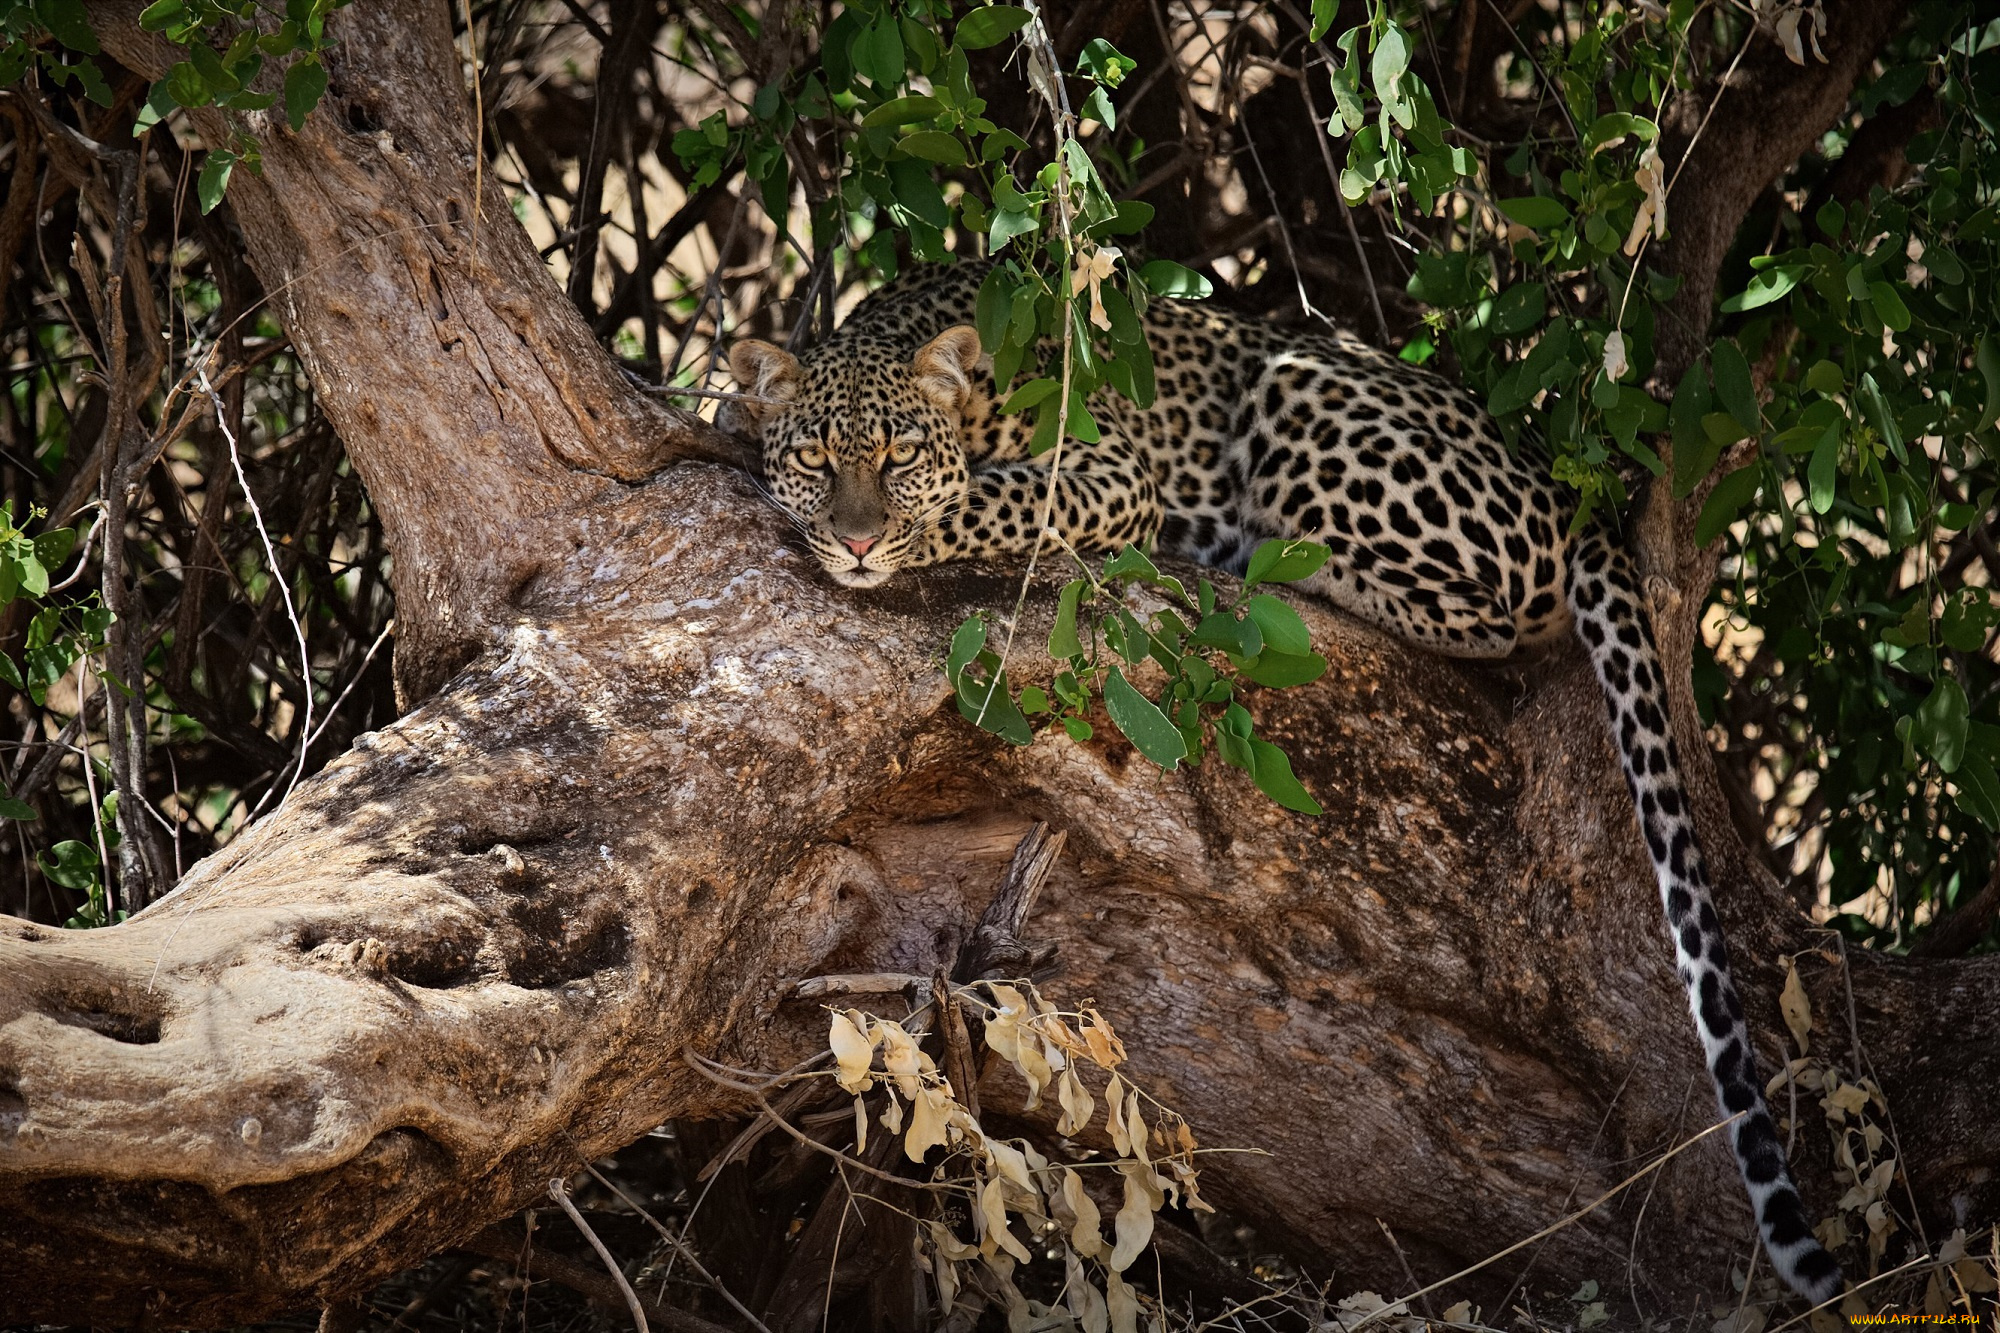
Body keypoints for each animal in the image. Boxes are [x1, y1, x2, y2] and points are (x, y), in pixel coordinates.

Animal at [720, 256, 1840, 1296]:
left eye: (899, 456)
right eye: (817, 457)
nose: (857, 537)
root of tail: (1574, 496)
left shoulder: (1109, 470)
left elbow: (985, 504)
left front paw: (901, 528)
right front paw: (741, 423)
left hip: (1303, 398)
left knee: (1503, 609)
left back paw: (1268, 557)